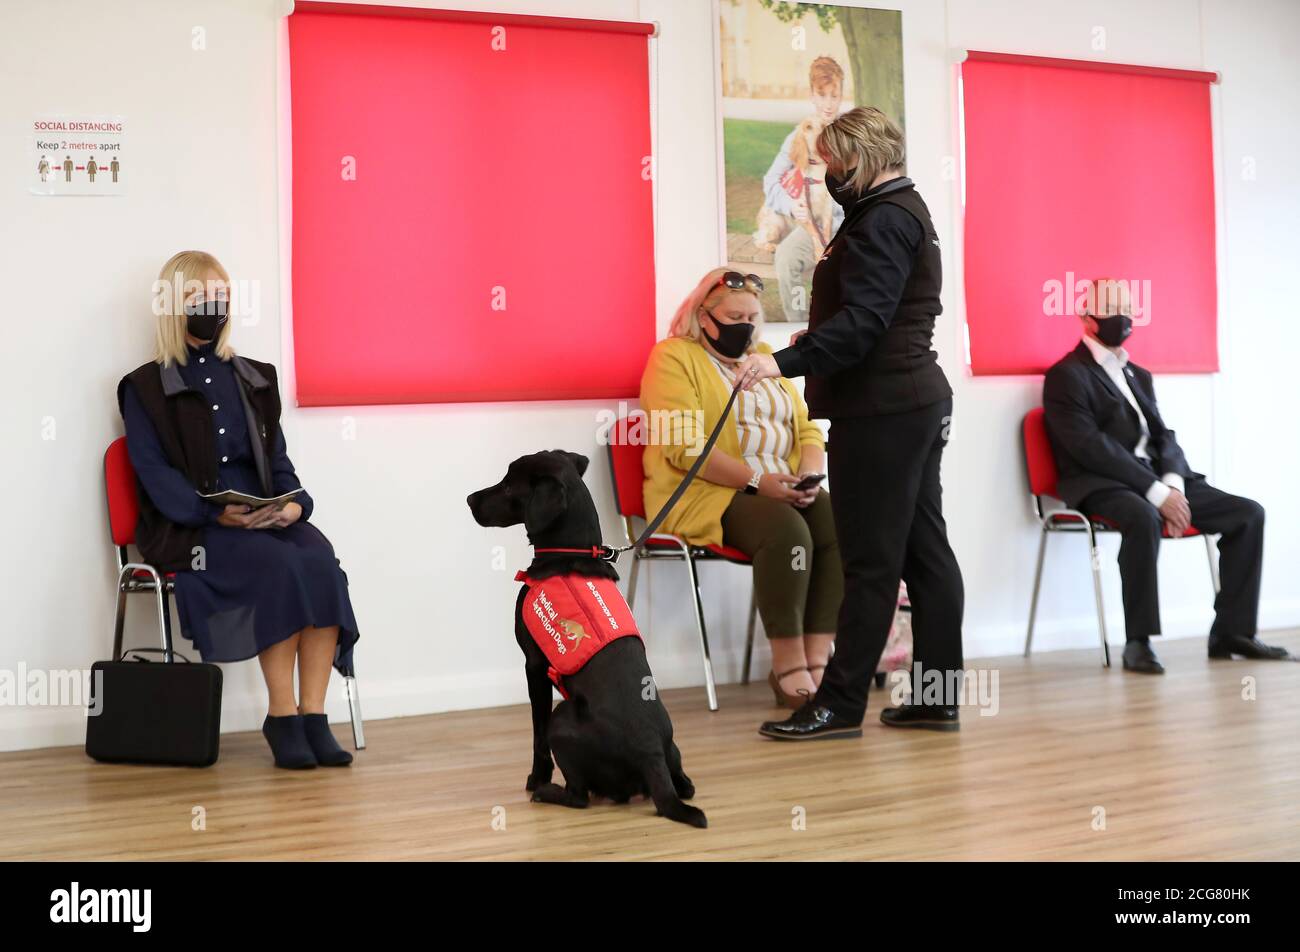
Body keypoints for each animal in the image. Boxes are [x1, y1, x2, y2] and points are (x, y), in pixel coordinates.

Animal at [467, 449, 707, 827]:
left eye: (507, 486)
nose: (469, 500)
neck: (570, 552)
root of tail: (651, 754)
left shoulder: (533, 666)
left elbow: (537, 735)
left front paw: (536, 778)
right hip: (672, 749)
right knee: (686, 785)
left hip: (563, 718)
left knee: (578, 795)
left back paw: (548, 792)